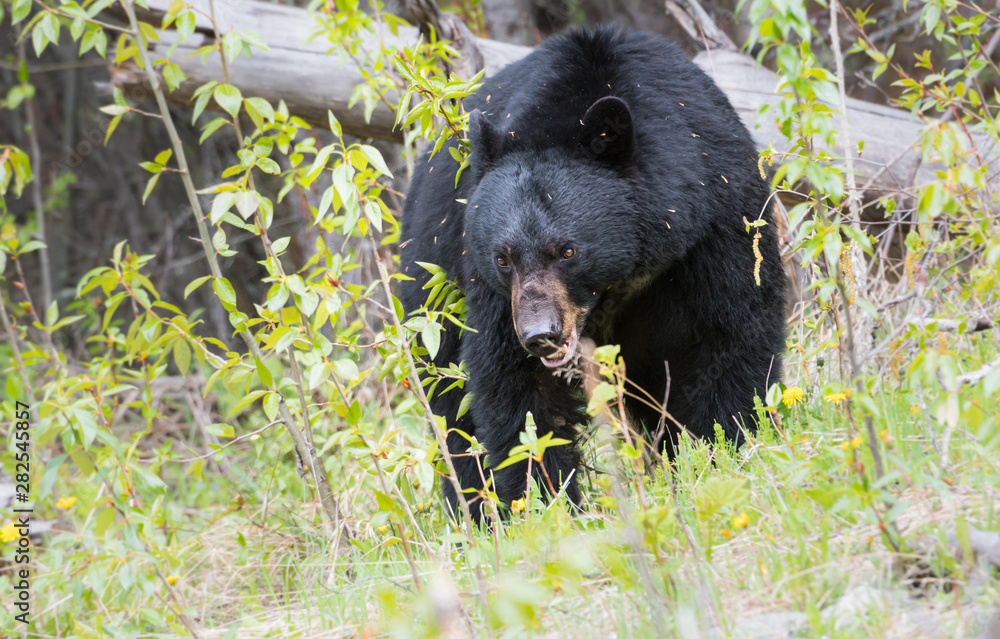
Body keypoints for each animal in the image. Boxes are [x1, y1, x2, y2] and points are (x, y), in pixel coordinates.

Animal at [399, 26, 785, 520]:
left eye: (567, 250)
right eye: (504, 258)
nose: (540, 335)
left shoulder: (716, 216)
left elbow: (729, 331)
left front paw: (720, 452)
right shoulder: (487, 285)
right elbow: (517, 390)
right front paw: (547, 503)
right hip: (431, 289)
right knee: (451, 406)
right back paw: (476, 511)